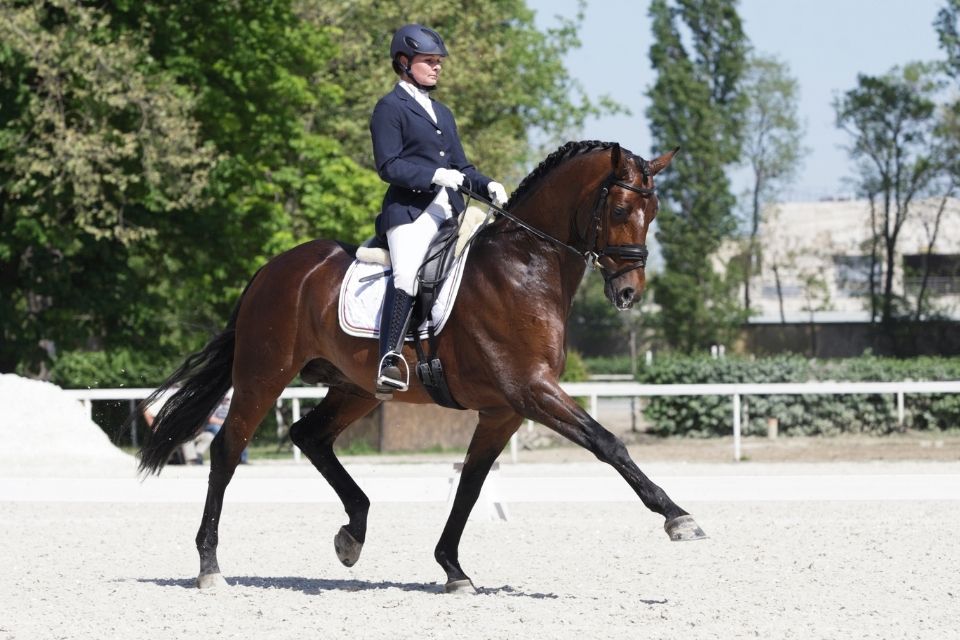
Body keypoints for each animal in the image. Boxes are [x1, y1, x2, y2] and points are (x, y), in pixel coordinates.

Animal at [137, 140, 704, 596]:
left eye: (653, 210)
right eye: (621, 206)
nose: (629, 293)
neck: (525, 266)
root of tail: (273, 268)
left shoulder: (504, 410)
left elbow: (471, 486)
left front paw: (453, 569)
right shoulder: (532, 391)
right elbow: (608, 443)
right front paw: (678, 517)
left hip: (356, 388)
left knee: (309, 436)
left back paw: (353, 533)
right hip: (263, 374)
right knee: (227, 451)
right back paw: (210, 567)